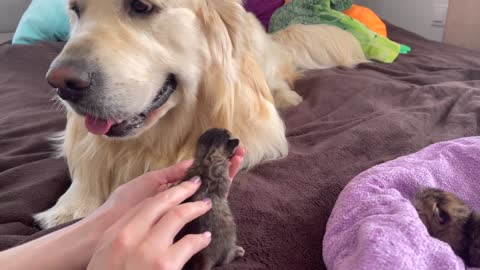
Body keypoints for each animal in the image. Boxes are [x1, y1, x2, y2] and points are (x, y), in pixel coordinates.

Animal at [36, 0, 368, 228]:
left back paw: (287, 97)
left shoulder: (256, 133)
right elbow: (87, 157)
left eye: (141, 6)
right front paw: (71, 205)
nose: (60, 83)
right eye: (76, 9)